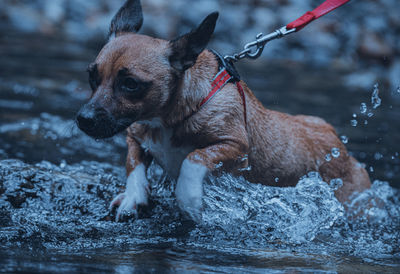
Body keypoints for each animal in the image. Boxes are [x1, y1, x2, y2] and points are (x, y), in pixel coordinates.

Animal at [76, 0, 370, 219]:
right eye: (91, 76)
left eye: (130, 84)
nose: (83, 119)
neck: (171, 117)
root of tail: (340, 147)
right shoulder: (135, 135)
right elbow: (133, 164)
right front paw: (133, 197)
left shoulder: (235, 147)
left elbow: (193, 159)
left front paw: (189, 199)